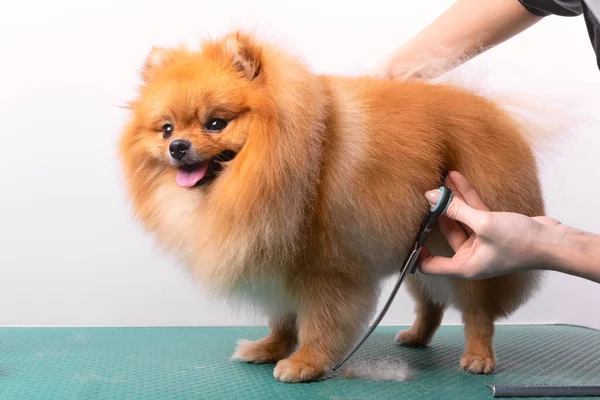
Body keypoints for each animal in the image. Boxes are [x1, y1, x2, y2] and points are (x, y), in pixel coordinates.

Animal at [118, 30, 548, 382]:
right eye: (167, 129)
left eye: (215, 124)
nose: (177, 147)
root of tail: (497, 115)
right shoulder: (277, 262)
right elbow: (282, 317)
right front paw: (269, 347)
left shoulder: (326, 268)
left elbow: (319, 322)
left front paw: (306, 362)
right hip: (419, 249)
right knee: (431, 302)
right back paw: (416, 336)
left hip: (466, 245)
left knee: (477, 310)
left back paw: (478, 355)